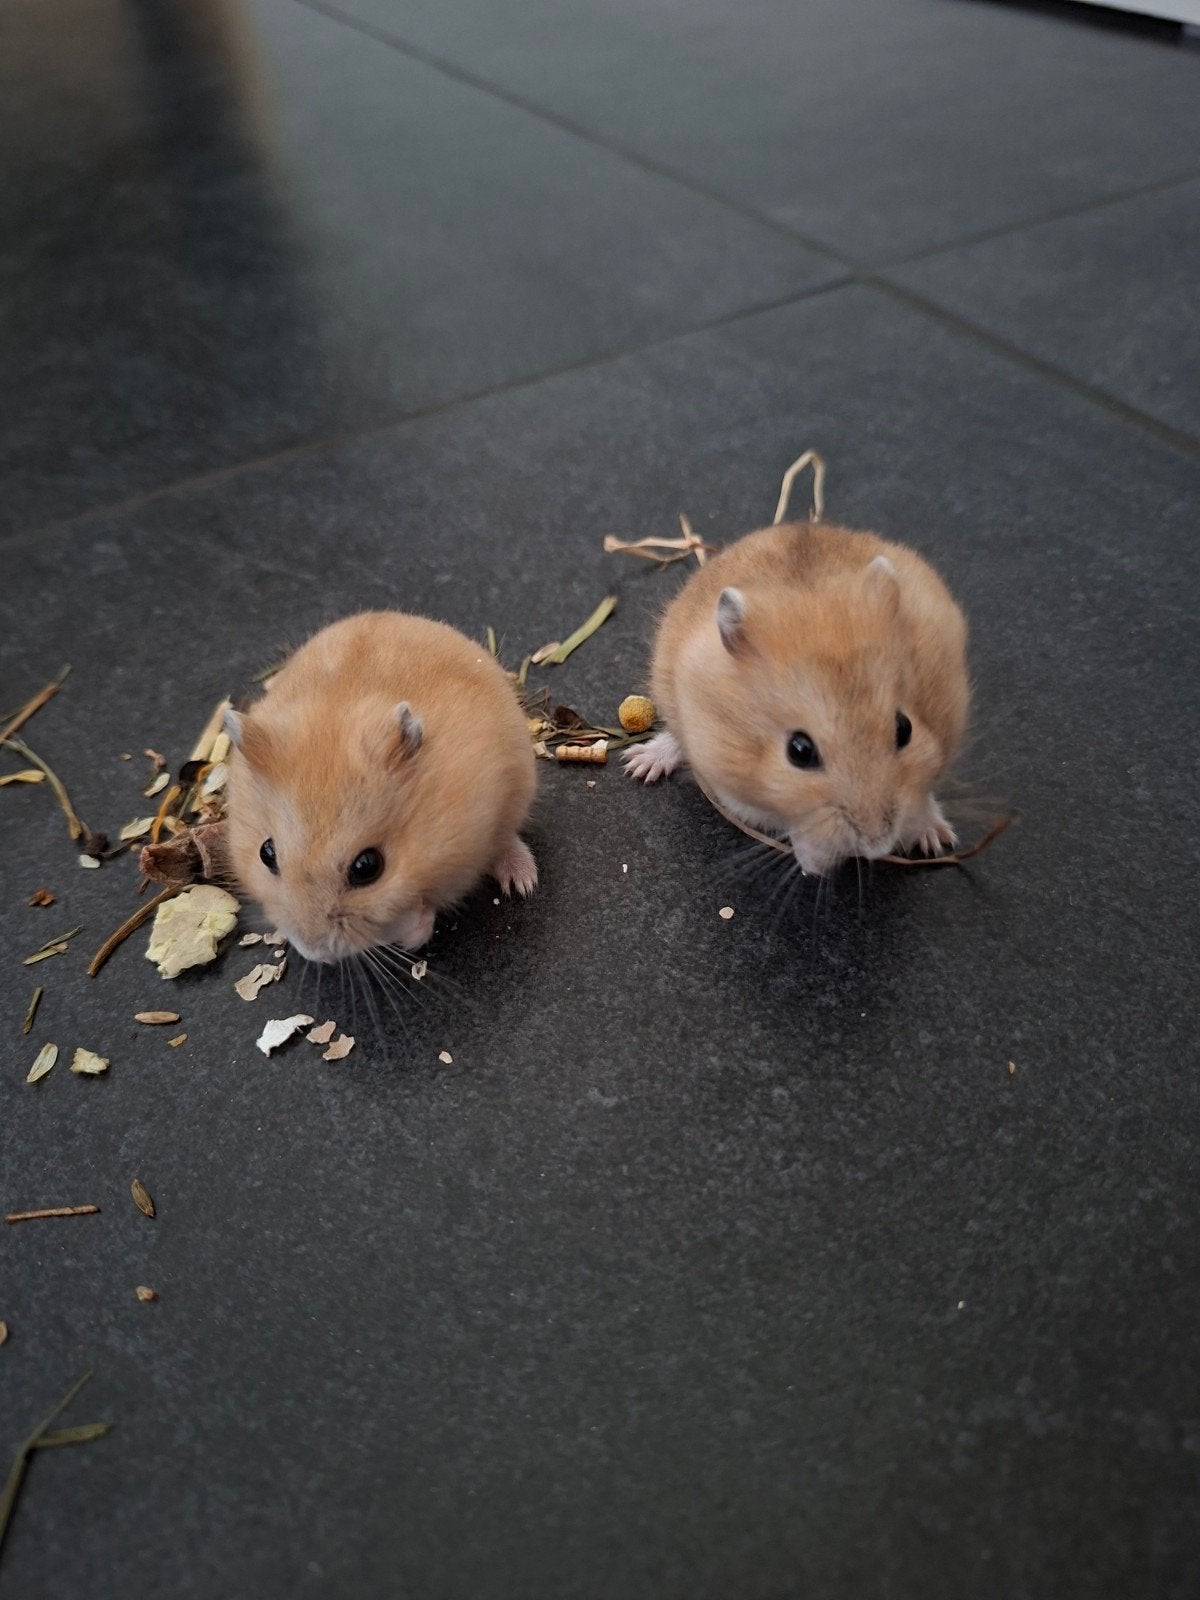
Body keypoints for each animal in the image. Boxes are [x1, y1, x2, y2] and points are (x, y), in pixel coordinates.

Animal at [625, 521, 969, 876]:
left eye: (905, 729)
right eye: (799, 751)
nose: (877, 847)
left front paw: (935, 840)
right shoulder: (732, 787)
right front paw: (814, 866)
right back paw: (638, 764)